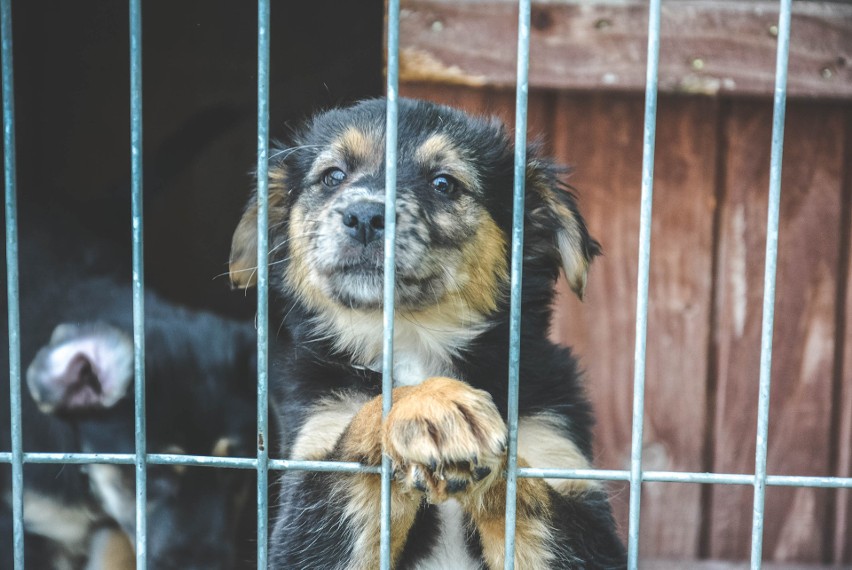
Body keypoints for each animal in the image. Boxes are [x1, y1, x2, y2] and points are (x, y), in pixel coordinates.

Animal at [228, 98, 624, 568]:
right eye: (333, 177)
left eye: (444, 184)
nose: (365, 216)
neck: (415, 337)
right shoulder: (316, 457)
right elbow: (376, 406)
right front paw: (432, 404)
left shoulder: (559, 456)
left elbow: (529, 491)